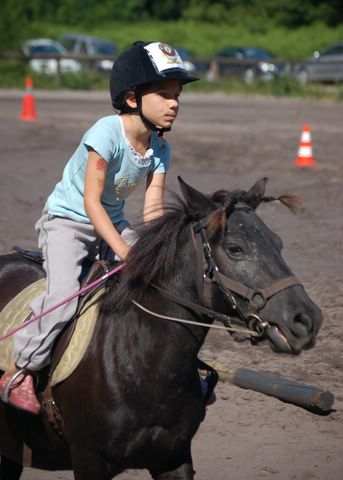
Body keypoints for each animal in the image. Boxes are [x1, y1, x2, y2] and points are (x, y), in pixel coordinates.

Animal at [0, 177, 324, 480]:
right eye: (235, 249)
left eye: (278, 243)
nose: (307, 319)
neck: (142, 360)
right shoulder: (89, 460)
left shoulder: (174, 457)